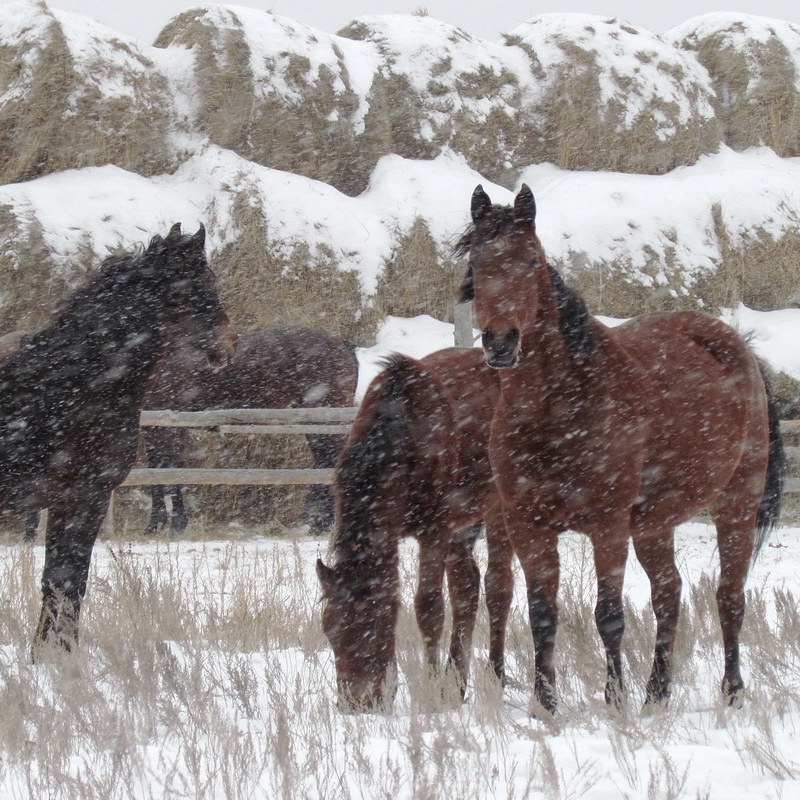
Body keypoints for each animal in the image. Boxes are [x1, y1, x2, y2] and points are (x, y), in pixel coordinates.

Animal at [0, 223, 238, 656]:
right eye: (203, 283)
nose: (229, 345)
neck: (79, 388)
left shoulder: (67, 503)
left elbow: (59, 583)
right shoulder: (85, 498)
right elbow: (67, 583)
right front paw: (60, 656)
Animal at [142, 324, 358, 536]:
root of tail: (342, 344)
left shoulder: (171, 427)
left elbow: (172, 472)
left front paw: (177, 526)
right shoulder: (151, 428)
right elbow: (155, 472)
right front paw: (153, 526)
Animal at [314, 346, 512, 708]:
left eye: (374, 624)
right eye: (329, 629)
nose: (357, 703)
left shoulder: (434, 527)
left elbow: (428, 608)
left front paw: (431, 694)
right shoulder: (403, 529)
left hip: (498, 501)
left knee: (498, 583)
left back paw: (496, 677)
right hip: (464, 518)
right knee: (467, 585)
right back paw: (457, 685)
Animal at [456, 186, 788, 712]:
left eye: (531, 261)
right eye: (478, 263)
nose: (501, 343)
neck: (560, 406)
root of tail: (739, 347)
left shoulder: (607, 526)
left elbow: (608, 614)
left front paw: (613, 700)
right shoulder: (527, 525)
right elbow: (540, 613)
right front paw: (544, 703)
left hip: (737, 503)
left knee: (729, 596)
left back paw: (731, 690)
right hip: (654, 523)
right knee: (669, 593)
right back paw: (657, 692)